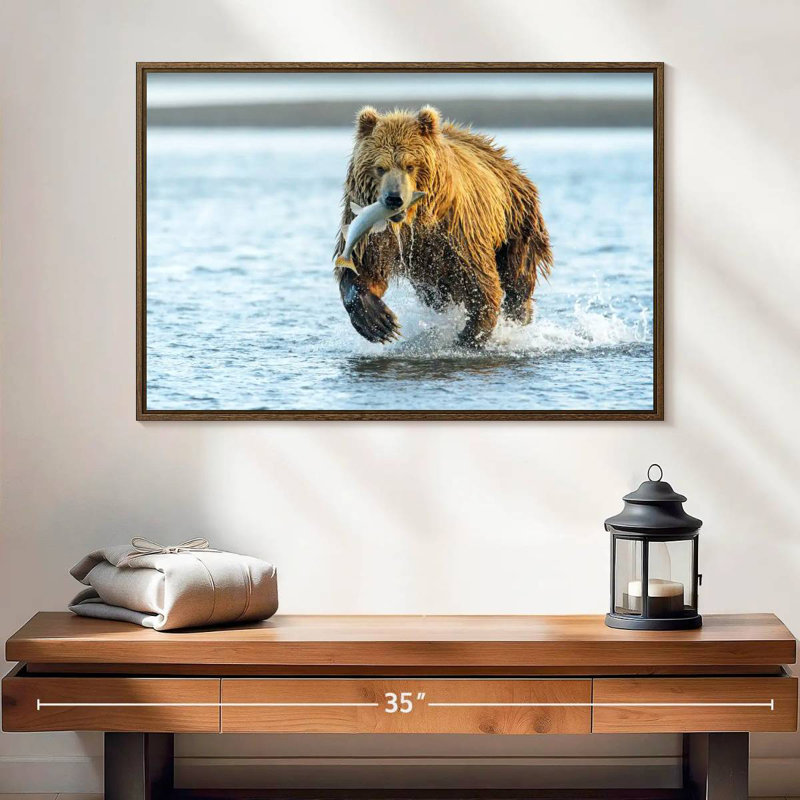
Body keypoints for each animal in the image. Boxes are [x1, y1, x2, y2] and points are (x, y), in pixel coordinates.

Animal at [334, 105, 553, 347]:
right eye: (380, 167)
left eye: (410, 165)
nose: (394, 198)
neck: (414, 220)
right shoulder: (373, 233)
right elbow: (365, 269)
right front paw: (380, 322)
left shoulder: (459, 230)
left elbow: (479, 280)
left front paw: (470, 335)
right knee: (436, 293)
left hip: (517, 220)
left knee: (518, 274)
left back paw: (519, 314)